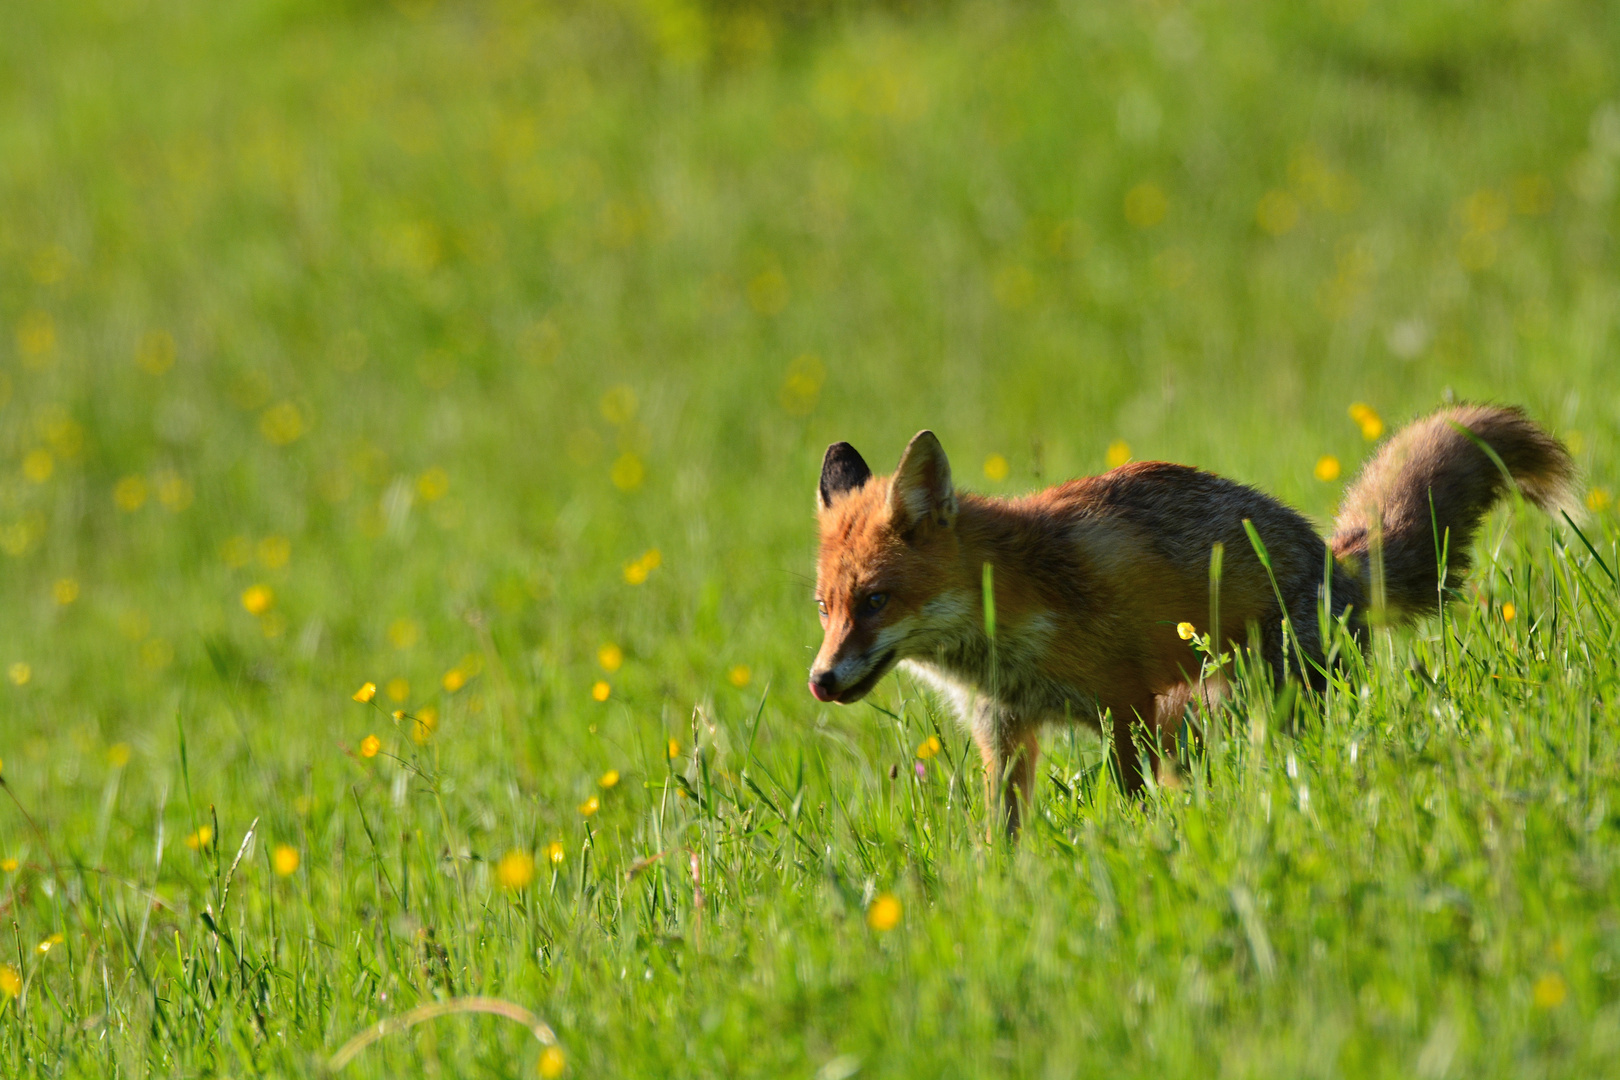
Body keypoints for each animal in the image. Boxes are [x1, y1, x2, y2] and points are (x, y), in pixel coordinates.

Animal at [803, 404, 1574, 835]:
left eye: (876, 601)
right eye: (825, 607)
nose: (820, 680)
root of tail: (1337, 559)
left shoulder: (1123, 707)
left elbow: (1130, 805)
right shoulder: (1005, 733)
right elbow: (1004, 838)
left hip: (1247, 704)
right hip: (1193, 724)